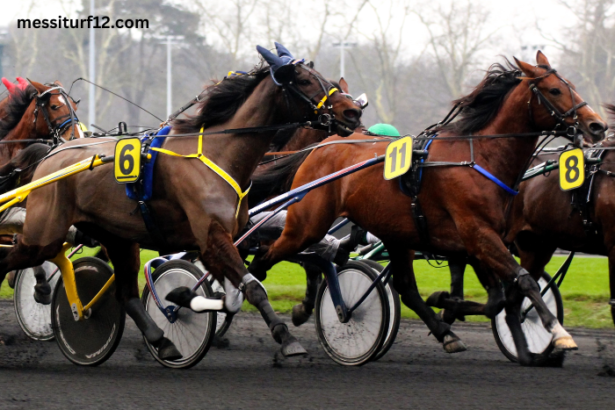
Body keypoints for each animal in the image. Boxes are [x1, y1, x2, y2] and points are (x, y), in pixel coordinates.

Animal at [0, 43, 364, 360]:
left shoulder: (227, 238)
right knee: (17, 259)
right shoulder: (213, 236)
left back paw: (161, 341)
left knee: (126, 294)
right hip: (44, 235)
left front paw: (187, 300)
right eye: (302, 80)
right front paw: (285, 337)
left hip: (118, 237)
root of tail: (51, 154)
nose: (353, 111)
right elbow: (253, 287)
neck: (221, 152)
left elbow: (237, 290)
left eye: (325, 78)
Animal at [248, 52, 608, 366]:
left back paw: (444, 332)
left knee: (404, 287)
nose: (597, 126)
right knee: (266, 258)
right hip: (307, 224)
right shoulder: (478, 235)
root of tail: (319, 148)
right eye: (555, 90)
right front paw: (559, 334)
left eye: (571, 84)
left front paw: (449, 305)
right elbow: (524, 282)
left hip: (395, 232)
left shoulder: (479, 241)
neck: (478, 158)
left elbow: (499, 297)